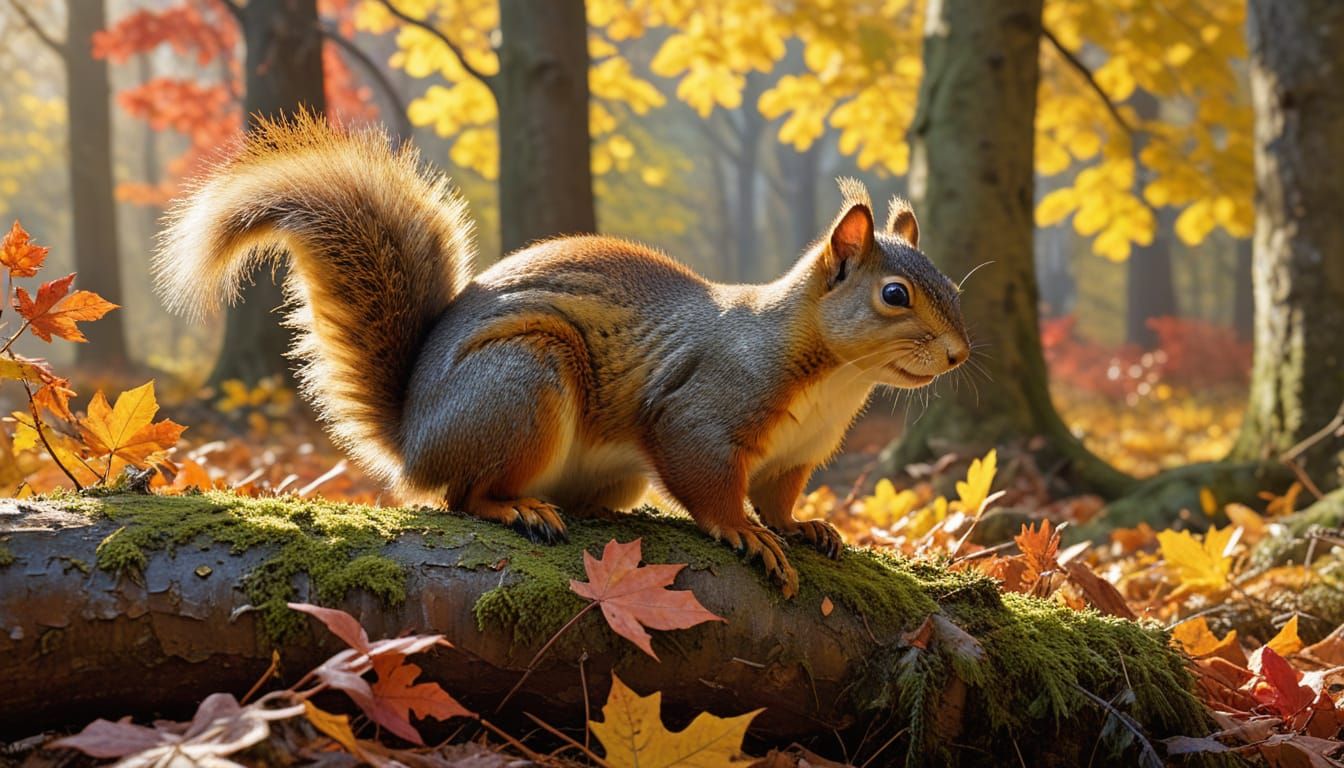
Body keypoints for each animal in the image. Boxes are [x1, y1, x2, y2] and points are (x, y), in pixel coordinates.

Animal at [156, 114, 970, 597]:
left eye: (949, 282)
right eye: (895, 294)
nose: (961, 355)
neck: (837, 380)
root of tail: (414, 437)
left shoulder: (796, 455)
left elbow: (781, 496)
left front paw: (803, 528)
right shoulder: (704, 409)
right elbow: (707, 479)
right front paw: (744, 532)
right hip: (524, 381)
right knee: (460, 495)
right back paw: (516, 508)